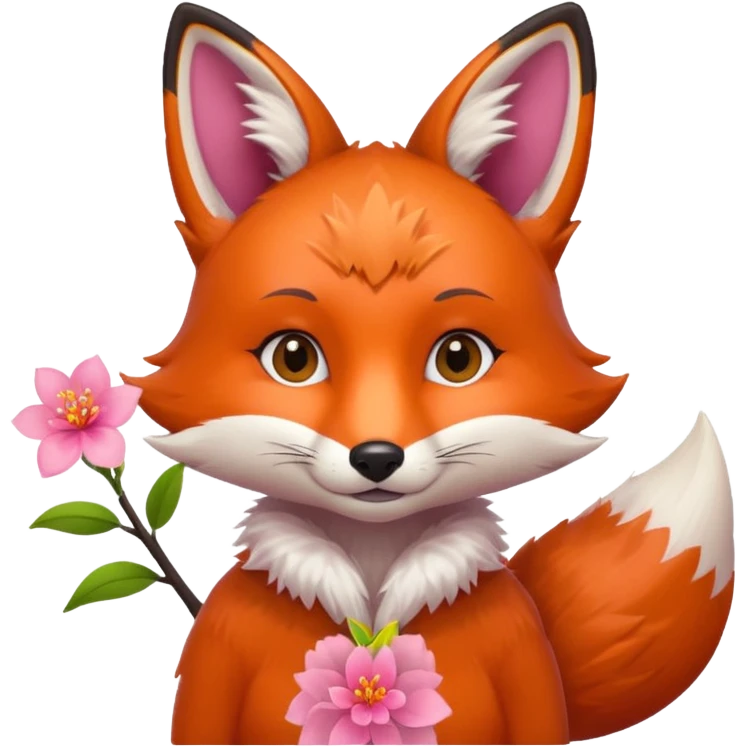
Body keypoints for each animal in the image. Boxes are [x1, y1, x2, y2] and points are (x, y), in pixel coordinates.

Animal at [136, 1, 736, 744]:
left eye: (458, 358)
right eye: (293, 358)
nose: (375, 457)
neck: (370, 605)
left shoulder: (522, 652)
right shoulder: (216, 652)